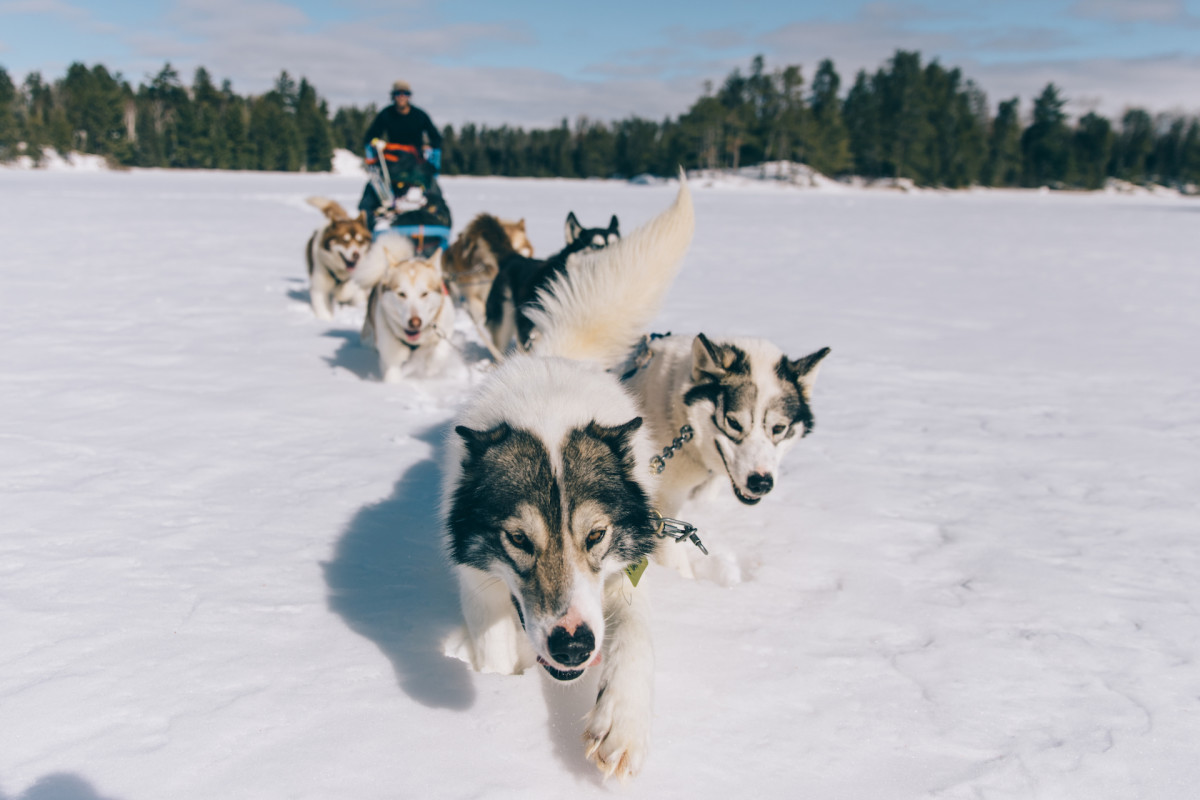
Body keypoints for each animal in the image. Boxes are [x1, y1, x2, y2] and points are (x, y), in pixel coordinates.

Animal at [444, 175, 696, 782]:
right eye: (517, 539)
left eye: (596, 535)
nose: (575, 647)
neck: (549, 409)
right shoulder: (479, 583)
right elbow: (494, 650)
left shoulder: (626, 571)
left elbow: (636, 636)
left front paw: (622, 720)